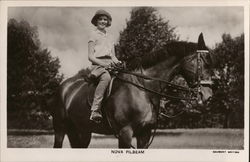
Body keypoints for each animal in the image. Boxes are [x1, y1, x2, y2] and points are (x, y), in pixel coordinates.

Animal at [51, 33, 214, 149]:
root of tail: (64, 86)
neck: (142, 90)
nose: (208, 96)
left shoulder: (144, 134)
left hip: (82, 131)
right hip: (60, 129)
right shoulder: (125, 133)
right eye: (205, 63)